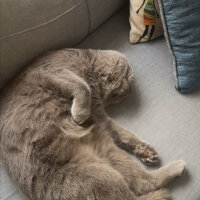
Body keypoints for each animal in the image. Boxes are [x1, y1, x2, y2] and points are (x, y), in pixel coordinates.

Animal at [0, 48, 185, 200]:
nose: (129, 92)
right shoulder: (55, 70)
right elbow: (82, 87)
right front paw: (80, 114)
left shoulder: (99, 114)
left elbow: (121, 133)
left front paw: (145, 150)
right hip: (98, 175)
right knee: (139, 187)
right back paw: (176, 170)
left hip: (107, 153)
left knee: (141, 183)